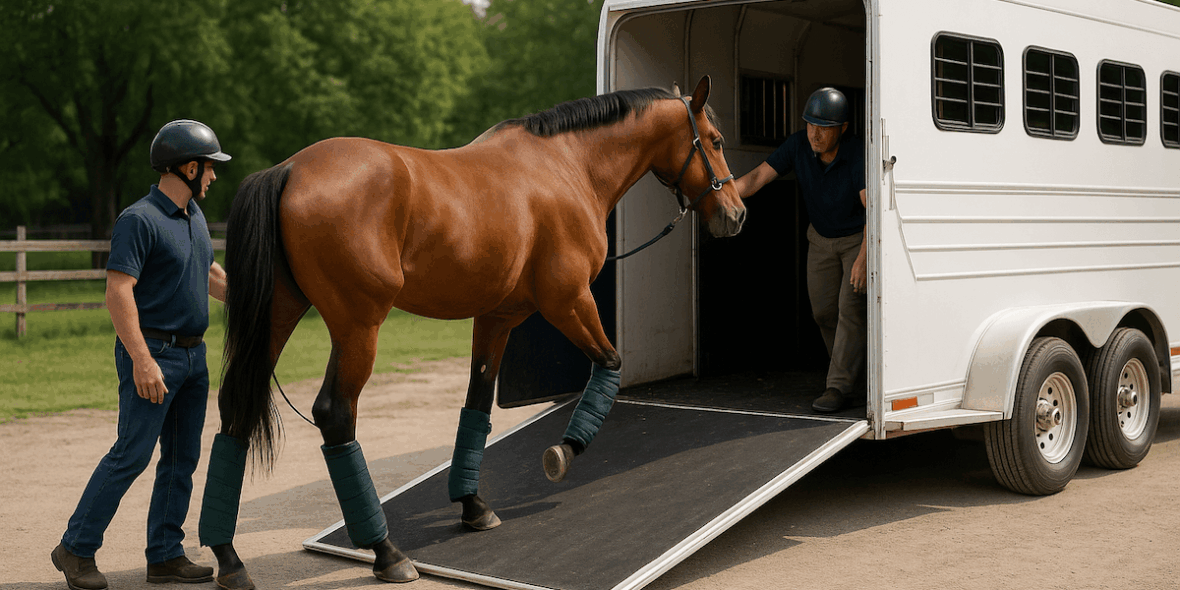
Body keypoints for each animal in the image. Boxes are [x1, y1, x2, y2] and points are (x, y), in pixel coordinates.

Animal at [197, 76, 746, 589]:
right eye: (716, 140)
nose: (736, 214)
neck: (566, 165)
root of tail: (288, 170)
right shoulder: (569, 301)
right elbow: (608, 366)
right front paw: (565, 452)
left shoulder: (496, 319)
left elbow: (477, 404)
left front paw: (472, 505)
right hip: (358, 326)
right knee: (335, 414)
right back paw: (385, 552)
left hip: (280, 317)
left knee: (235, 408)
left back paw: (229, 558)